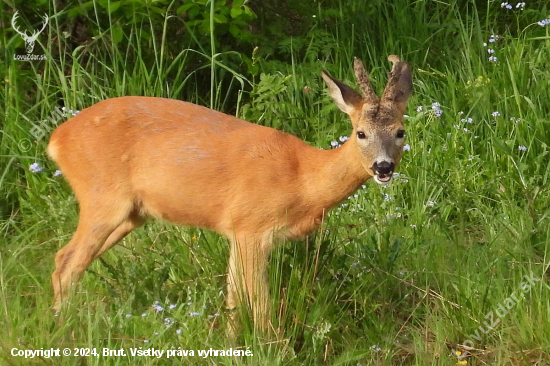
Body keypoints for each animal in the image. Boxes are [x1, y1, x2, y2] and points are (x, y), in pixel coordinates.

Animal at [48, 55, 414, 334]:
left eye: (400, 131)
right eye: (360, 132)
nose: (383, 167)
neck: (302, 180)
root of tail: (56, 139)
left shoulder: (236, 232)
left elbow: (234, 300)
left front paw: (232, 343)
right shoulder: (251, 226)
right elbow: (261, 305)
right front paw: (271, 346)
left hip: (131, 213)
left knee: (62, 258)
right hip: (102, 197)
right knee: (67, 262)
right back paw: (64, 330)